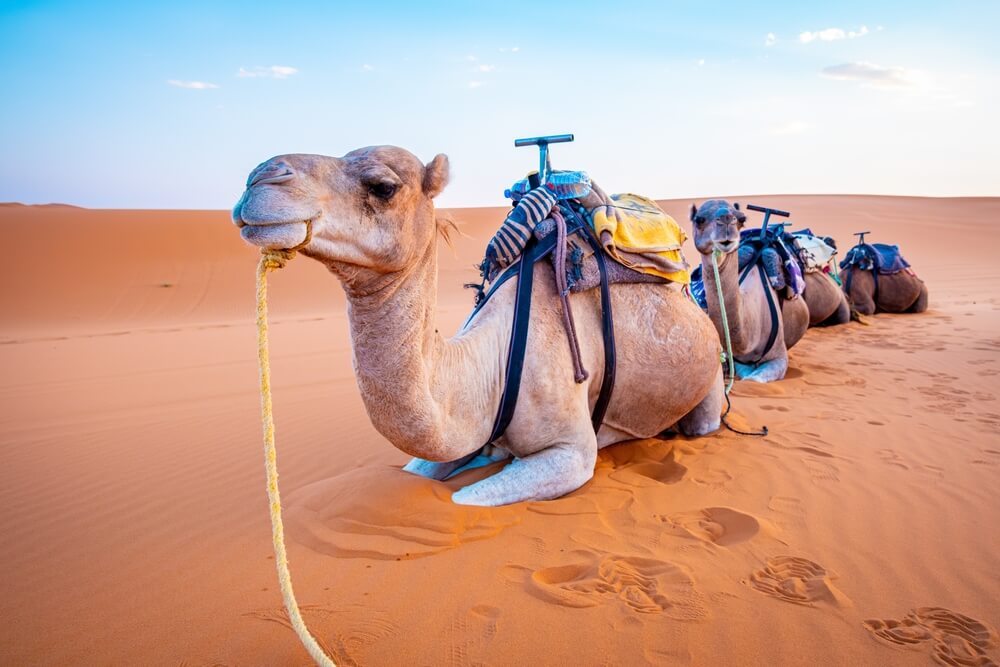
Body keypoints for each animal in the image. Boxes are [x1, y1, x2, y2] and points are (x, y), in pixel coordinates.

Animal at [230, 147, 724, 506]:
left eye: (383, 186)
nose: (260, 177)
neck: (490, 364)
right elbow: (420, 470)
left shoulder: (572, 453)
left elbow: (462, 500)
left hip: (710, 388)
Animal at [688, 201, 812, 384]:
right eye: (699, 220)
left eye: (741, 219)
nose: (726, 220)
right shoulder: (737, 360)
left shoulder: (779, 357)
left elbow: (754, 380)